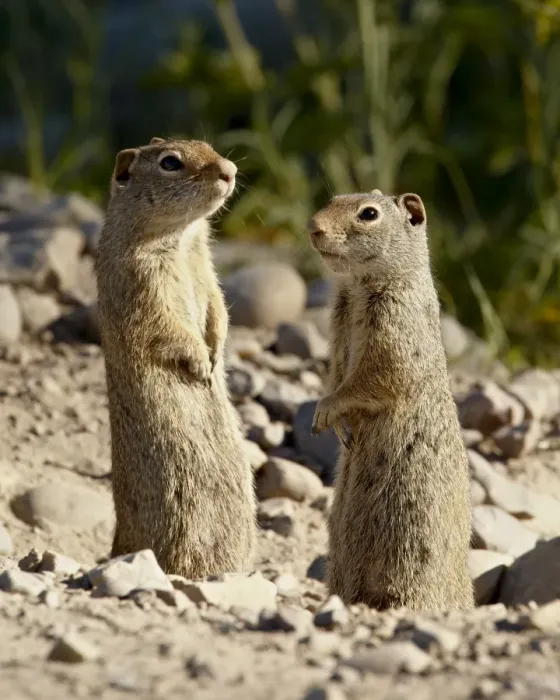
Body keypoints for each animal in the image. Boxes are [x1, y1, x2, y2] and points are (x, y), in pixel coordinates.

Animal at [96, 137, 256, 578]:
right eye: (170, 163)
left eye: (208, 145)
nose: (230, 170)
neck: (182, 240)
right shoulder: (144, 287)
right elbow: (168, 328)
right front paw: (201, 364)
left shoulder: (206, 268)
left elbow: (218, 307)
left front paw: (217, 352)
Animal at [307, 189, 474, 611]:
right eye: (333, 198)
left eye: (368, 214)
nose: (313, 226)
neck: (355, 285)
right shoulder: (337, 337)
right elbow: (336, 375)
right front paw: (336, 425)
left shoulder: (394, 334)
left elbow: (372, 379)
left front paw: (326, 412)